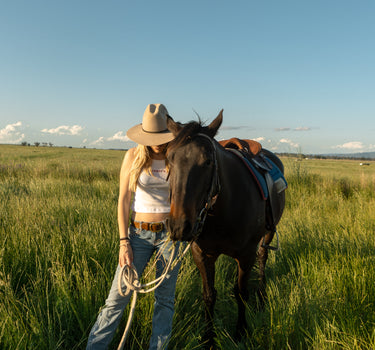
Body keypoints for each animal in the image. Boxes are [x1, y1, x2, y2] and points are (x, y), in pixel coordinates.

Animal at [166, 110, 286, 348]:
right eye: (169, 158)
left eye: (208, 161)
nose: (179, 226)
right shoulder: (202, 255)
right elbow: (209, 295)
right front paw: (208, 339)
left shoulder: (246, 255)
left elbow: (241, 293)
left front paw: (241, 332)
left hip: (269, 232)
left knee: (263, 257)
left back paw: (261, 297)